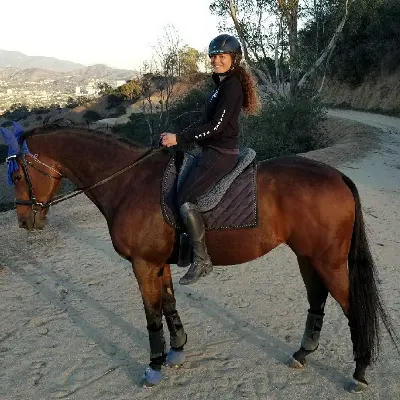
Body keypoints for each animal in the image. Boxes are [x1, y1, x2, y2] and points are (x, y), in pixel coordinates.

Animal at [3, 126, 400, 392]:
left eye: (17, 174)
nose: (24, 221)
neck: (129, 183)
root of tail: (336, 176)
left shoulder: (143, 265)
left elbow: (151, 316)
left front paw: (154, 366)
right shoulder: (158, 264)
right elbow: (168, 304)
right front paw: (177, 350)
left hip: (328, 261)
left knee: (352, 307)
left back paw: (360, 372)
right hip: (308, 256)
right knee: (317, 298)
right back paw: (303, 353)